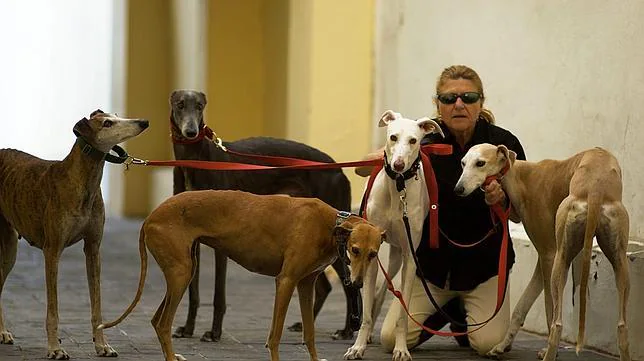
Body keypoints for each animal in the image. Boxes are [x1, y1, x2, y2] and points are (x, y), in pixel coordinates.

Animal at [0, 109, 148, 358]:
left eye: (116, 115)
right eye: (107, 123)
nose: (143, 122)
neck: (80, 179)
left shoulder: (93, 249)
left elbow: (97, 305)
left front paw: (102, 345)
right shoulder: (52, 251)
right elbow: (53, 309)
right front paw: (55, 348)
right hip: (8, 248)